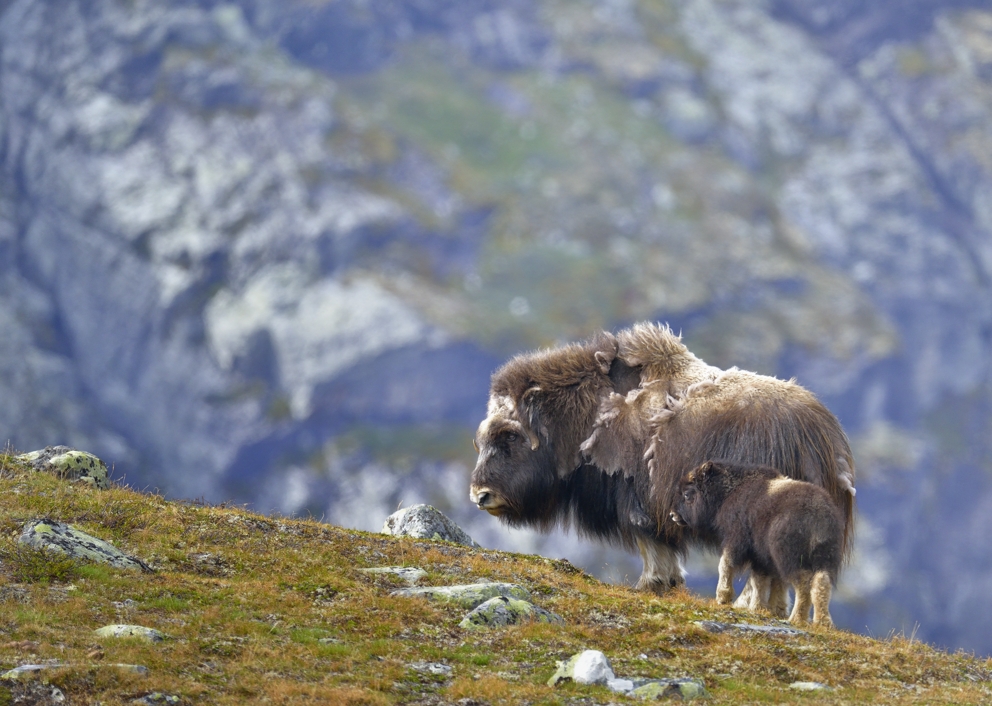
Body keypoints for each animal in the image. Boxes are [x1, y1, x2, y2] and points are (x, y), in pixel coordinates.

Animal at [672, 460, 840, 624]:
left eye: (687, 494)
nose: (672, 515)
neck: (728, 492)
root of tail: (819, 514)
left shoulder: (736, 539)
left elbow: (726, 564)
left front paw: (723, 598)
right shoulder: (762, 557)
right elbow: (763, 580)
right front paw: (765, 608)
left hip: (790, 557)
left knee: (804, 584)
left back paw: (797, 619)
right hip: (824, 558)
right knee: (821, 583)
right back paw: (822, 622)